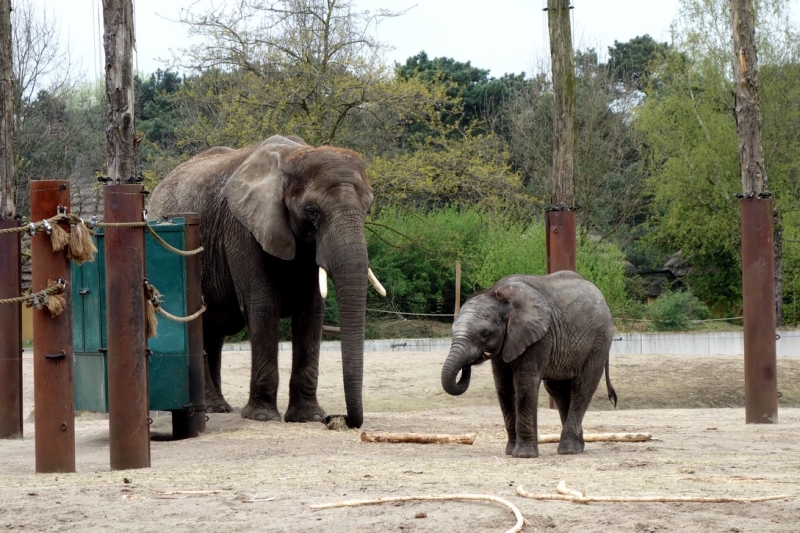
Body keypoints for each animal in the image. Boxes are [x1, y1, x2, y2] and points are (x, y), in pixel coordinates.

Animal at [153, 134, 388, 428]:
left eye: (367, 209)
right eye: (311, 211)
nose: (338, 419)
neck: (294, 155)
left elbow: (311, 311)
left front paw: (307, 417)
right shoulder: (241, 228)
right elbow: (264, 305)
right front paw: (262, 416)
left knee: (213, 332)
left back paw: (219, 407)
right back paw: (212, 407)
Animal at [440, 272, 616, 456]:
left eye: (485, 334)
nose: (467, 364)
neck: (498, 294)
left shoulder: (540, 337)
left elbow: (524, 383)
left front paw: (524, 455)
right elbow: (503, 387)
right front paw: (510, 452)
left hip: (600, 342)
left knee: (582, 387)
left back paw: (568, 450)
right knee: (557, 390)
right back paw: (578, 447)